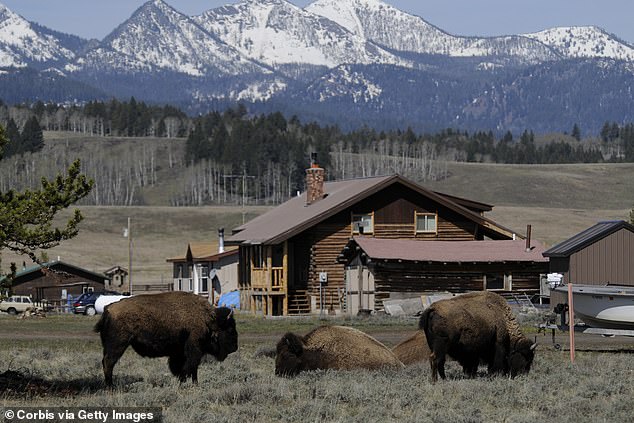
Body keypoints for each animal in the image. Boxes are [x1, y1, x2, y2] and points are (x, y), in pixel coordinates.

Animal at [95, 292, 238, 388]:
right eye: (230, 329)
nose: (234, 348)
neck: (208, 319)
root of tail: (108, 309)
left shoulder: (181, 353)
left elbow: (187, 368)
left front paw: (193, 384)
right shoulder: (194, 350)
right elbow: (190, 367)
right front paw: (186, 383)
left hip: (108, 346)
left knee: (105, 362)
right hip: (118, 345)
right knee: (109, 363)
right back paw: (111, 387)